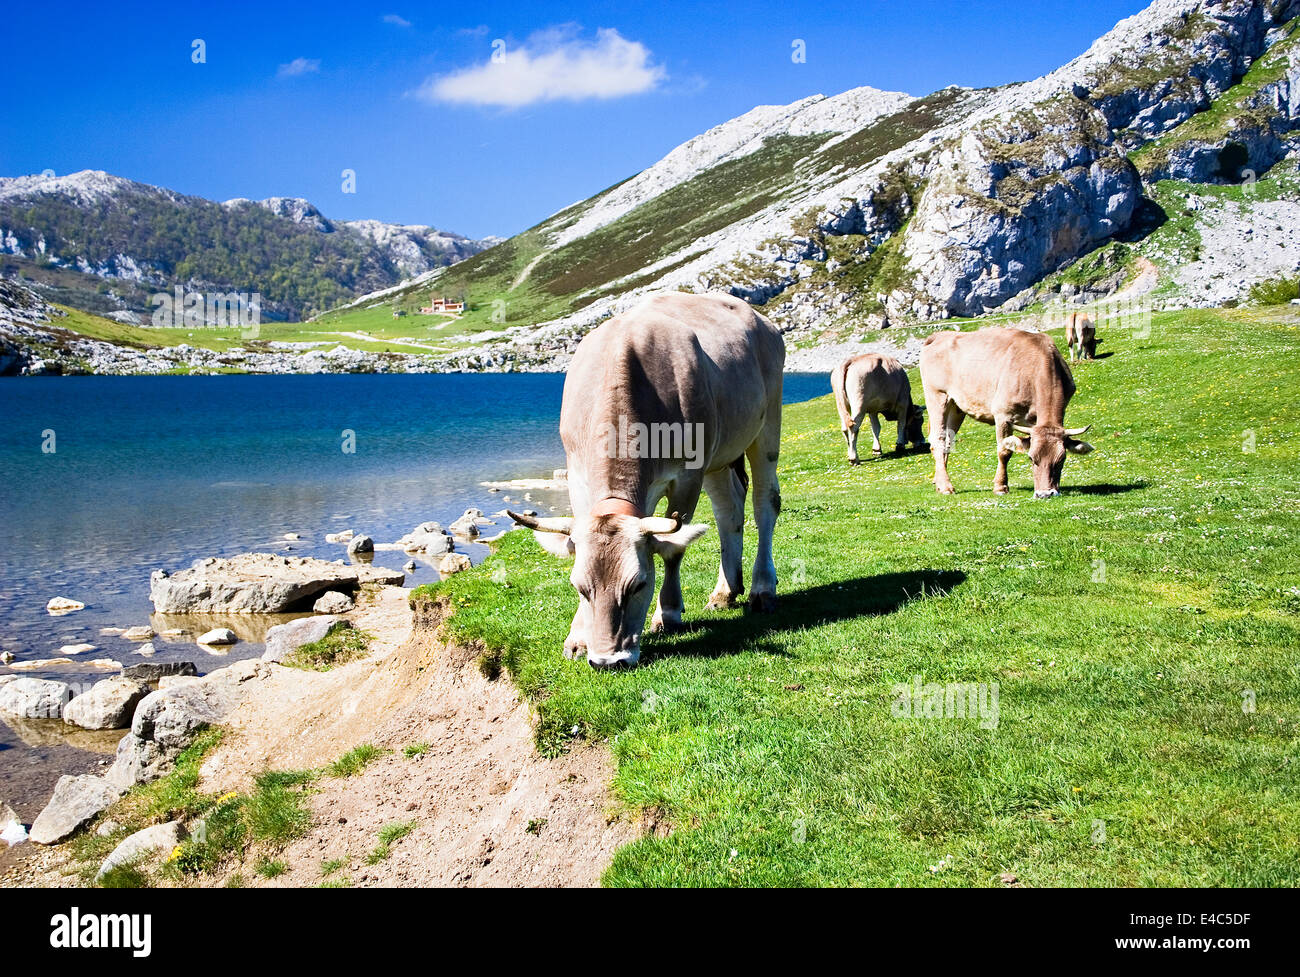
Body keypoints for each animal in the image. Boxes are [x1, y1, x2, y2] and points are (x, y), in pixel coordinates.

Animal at [506, 289, 780, 670]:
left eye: (638, 585)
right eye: (580, 587)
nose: (609, 661)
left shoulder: (687, 476)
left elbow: (673, 547)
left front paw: (669, 613)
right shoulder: (577, 475)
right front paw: (577, 637)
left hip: (767, 424)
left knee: (764, 503)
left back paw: (762, 589)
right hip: (720, 453)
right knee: (729, 509)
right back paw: (725, 591)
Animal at [920, 328, 1092, 498]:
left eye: (1062, 459)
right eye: (1031, 458)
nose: (1045, 494)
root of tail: (940, 336)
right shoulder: (1003, 414)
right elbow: (1004, 451)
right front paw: (1000, 487)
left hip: (956, 406)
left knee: (949, 440)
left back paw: (937, 480)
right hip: (937, 395)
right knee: (938, 439)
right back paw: (945, 486)